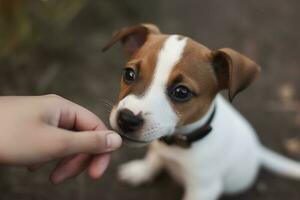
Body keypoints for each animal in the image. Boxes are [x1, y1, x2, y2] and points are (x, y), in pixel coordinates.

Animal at [103, 23, 300, 200]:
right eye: (129, 74)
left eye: (181, 92)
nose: (126, 119)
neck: (178, 142)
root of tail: (258, 151)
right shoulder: (159, 149)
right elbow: (154, 159)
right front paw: (141, 171)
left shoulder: (203, 189)